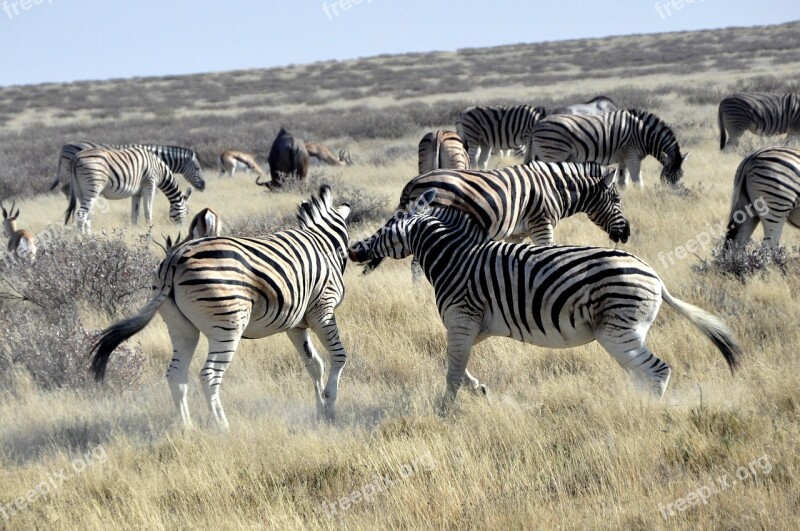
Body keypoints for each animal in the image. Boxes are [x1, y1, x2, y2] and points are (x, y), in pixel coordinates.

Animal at [64, 145, 192, 233]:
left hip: (80, 191)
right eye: (187, 212)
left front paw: (134, 231)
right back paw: (82, 239)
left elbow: (134, 214)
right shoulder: (149, 184)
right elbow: (148, 210)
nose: (182, 230)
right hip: (93, 188)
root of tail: (76, 157)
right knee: (81, 214)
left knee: (87, 214)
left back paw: (89, 237)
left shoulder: (137, 193)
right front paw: (149, 228)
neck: (159, 169)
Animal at [90, 185, 350, 430]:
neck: (322, 242)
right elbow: (338, 356)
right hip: (227, 326)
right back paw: (222, 425)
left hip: (181, 328)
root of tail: (174, 259)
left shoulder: (296, 324)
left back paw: (187, 426)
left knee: (176, 375)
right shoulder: (322, 311)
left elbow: (314, 364)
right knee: (209, 375)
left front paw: (321, 410)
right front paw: (330, 406)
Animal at [350, 197, 744, 410]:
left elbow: (451, 371)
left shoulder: (462, 318)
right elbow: (453, 365)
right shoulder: (473, 326)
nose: (354, 249)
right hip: (627, 332)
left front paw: (444, 411)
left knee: (657, 371)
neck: (451, 258)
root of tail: (656, 278)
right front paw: (478, 390)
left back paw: (648, 412)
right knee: (643, 373)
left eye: (384, 228)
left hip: (618, 331)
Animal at [528, 109, 692, 188]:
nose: (675, 195)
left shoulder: (624, 158)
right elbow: (638, 181)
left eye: (681, 176)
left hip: (541, 154)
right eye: (667, 176)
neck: (644, 134)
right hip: (552, 153)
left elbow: (622, 182)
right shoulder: (632, 155)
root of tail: (537, 125)